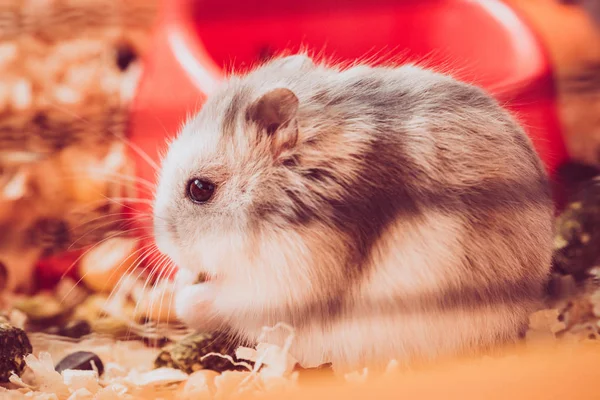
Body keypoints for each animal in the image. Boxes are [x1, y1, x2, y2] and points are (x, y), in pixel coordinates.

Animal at [154, 54, 552, 372]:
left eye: (200, 189)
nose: (161, 244)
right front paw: (180, 281)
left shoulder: (280, 283)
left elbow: (218, 299)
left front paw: (182, 298)